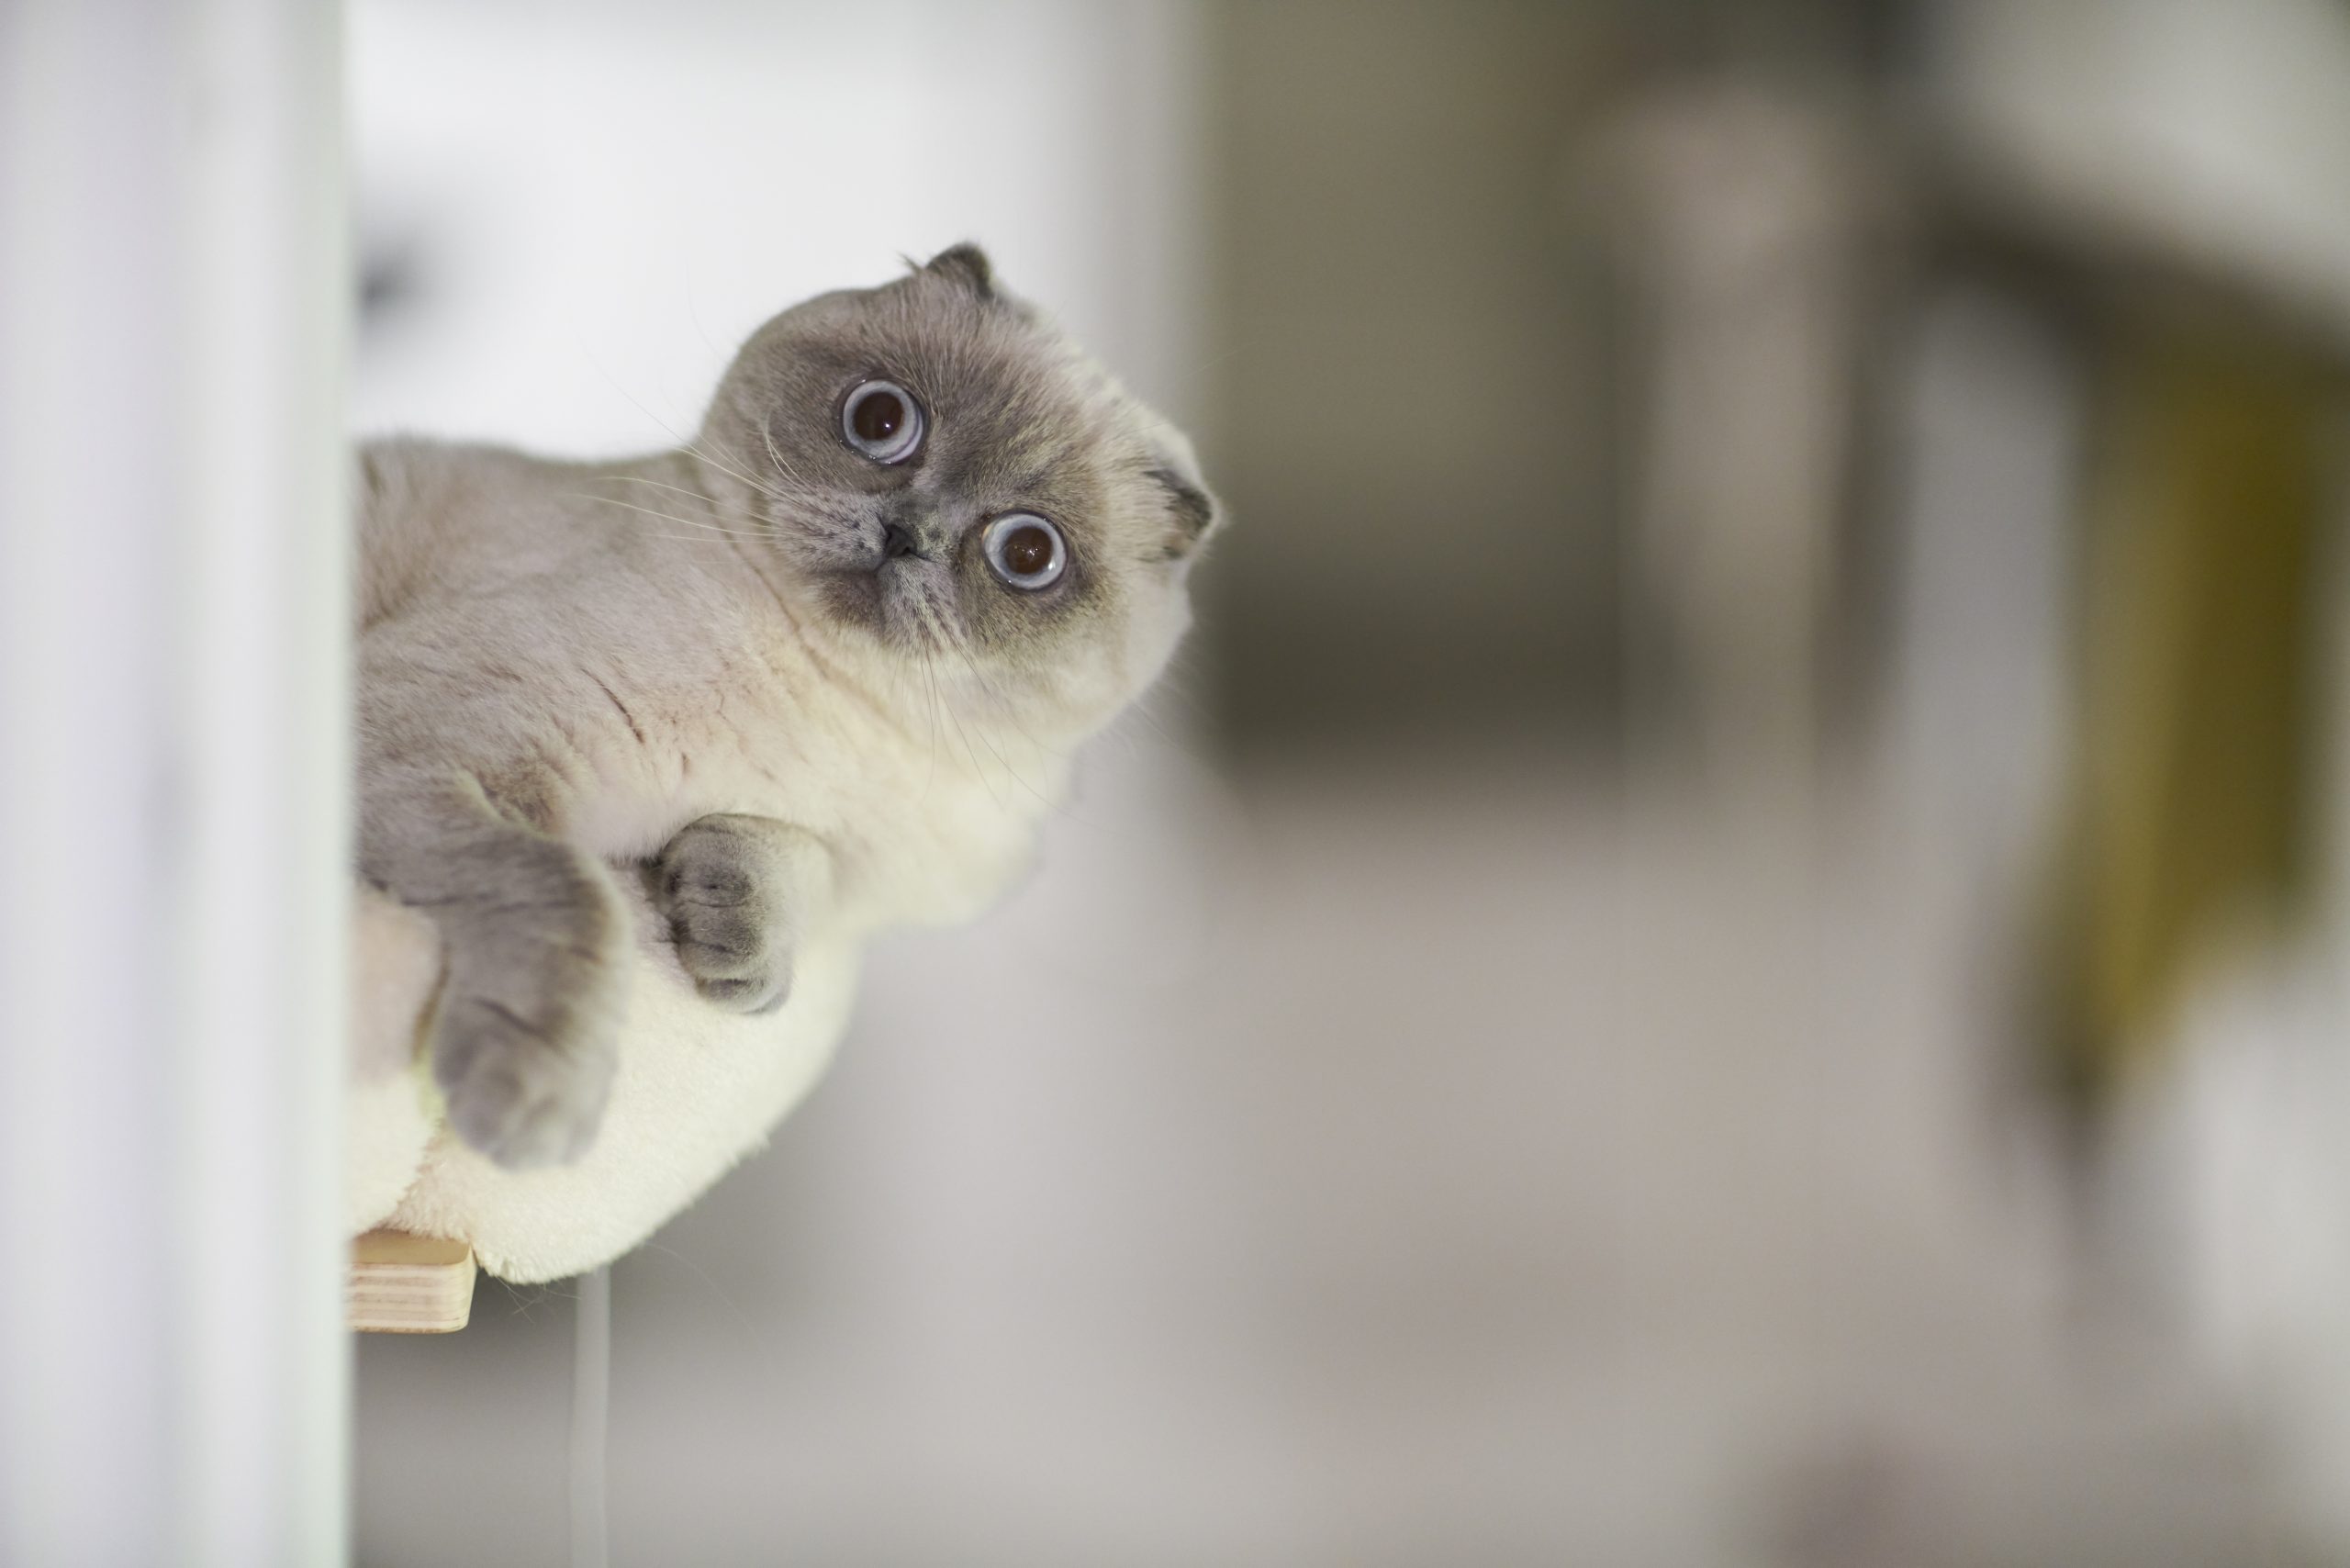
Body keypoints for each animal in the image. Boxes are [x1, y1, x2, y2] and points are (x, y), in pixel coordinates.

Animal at [362, 245, 1231, 1170]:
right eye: (882, 420)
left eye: (1028, 553)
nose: (908, 534)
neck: (821, 697)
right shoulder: (435, 748)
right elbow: (576, 893)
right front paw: (537, 1114)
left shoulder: (865, 887)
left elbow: (799, 863)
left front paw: (734, 942)